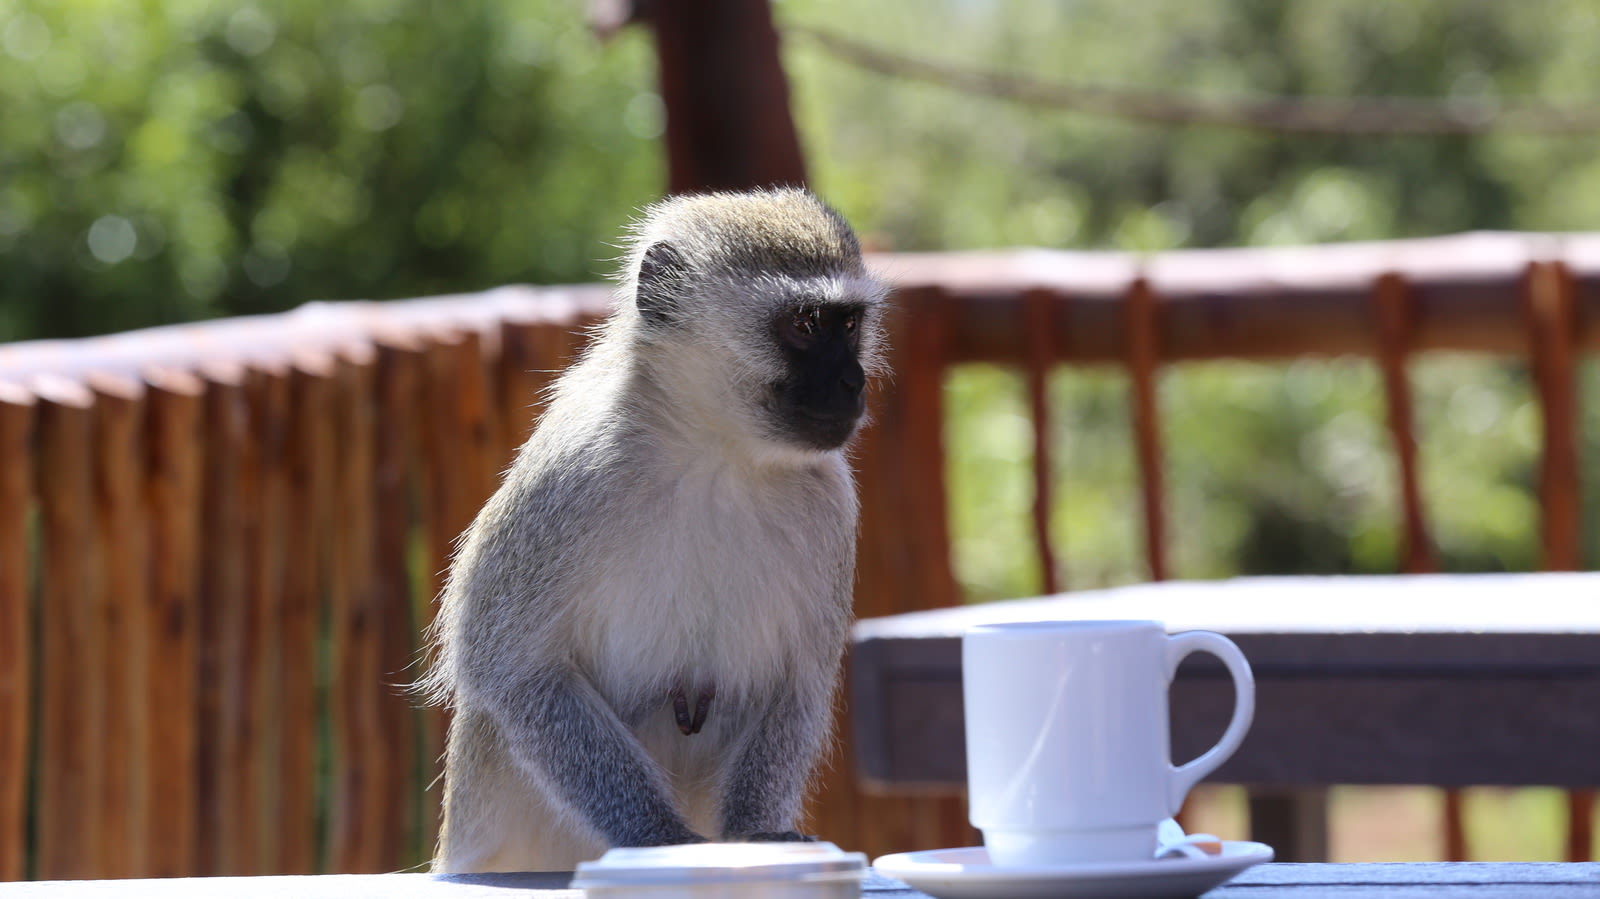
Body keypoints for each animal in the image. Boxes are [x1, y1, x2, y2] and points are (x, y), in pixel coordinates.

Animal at [422, 187, 889, 870]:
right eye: (804, 325)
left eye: (849, 325)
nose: (854, 382)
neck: (716, 456)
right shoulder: (571, 477)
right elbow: (511, 669)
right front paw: (659, 838)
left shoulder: (831, 503)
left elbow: (798, 684)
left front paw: (756, 835)